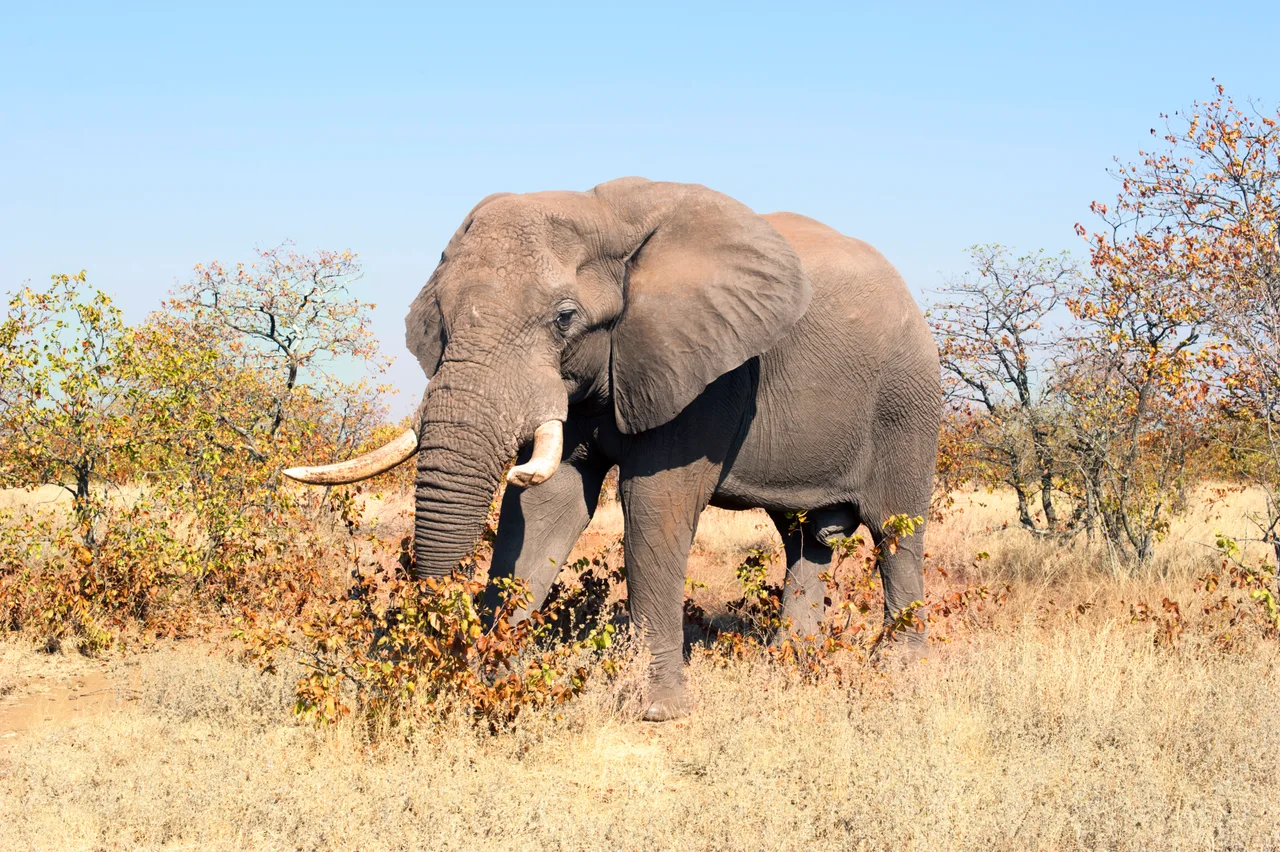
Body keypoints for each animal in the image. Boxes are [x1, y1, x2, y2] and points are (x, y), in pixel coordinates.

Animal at [284, 178, 941, 721]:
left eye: (564, 317)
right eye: (439, 319)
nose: (440, 643)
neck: (601, 213)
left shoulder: (705, 370)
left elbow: (654, 503)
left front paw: (657, 714)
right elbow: (547, 505)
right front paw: (496, 686)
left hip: (907, 403)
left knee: (895, 534)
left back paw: (899, 676)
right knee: (805, 538)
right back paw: (788, 669)